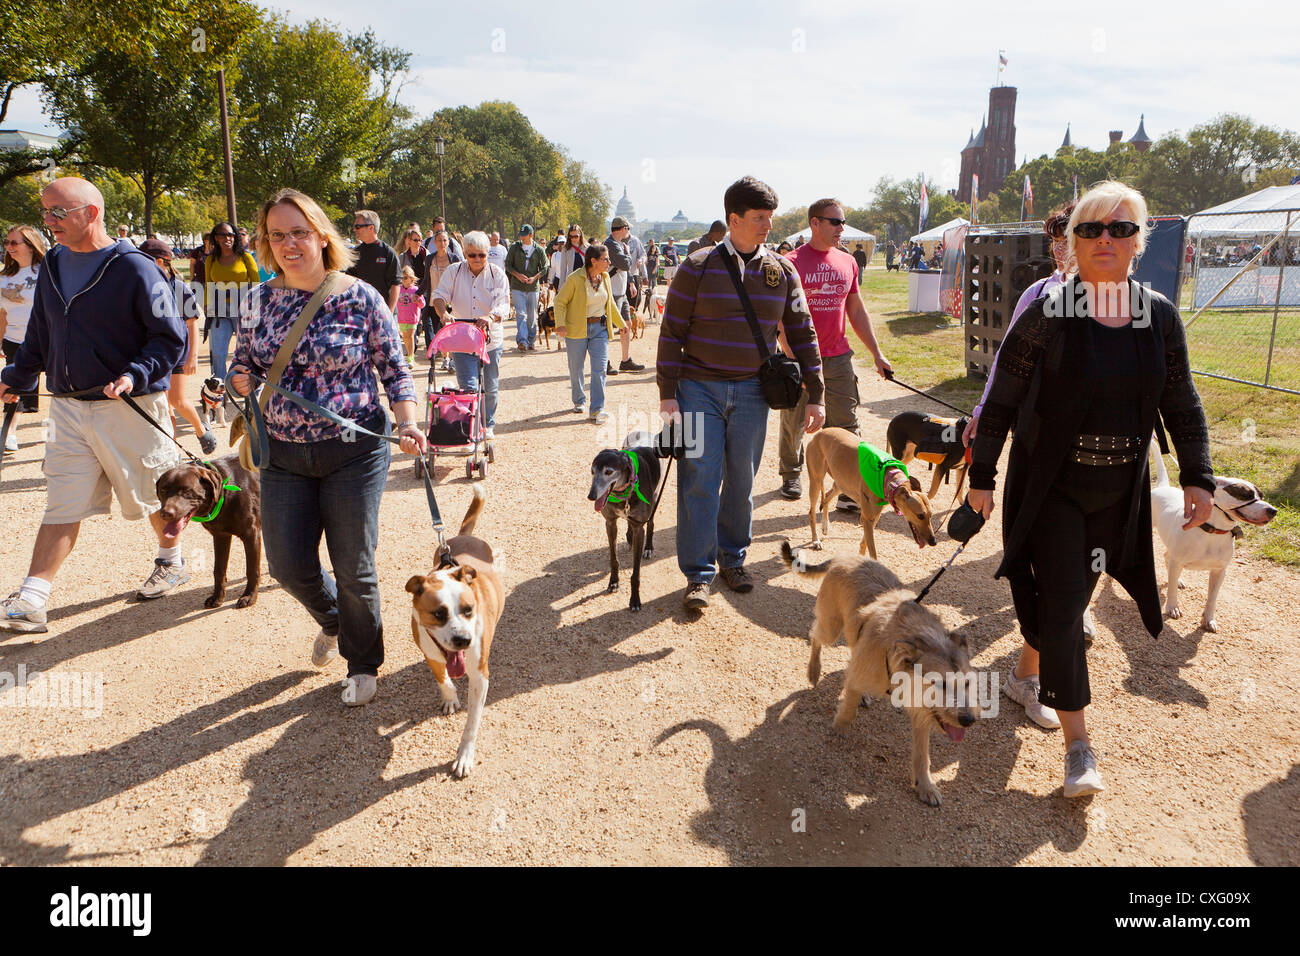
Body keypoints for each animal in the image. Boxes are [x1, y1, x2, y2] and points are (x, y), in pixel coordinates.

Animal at [405, 486, 501, 780]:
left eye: (468, 610)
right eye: (439, 614)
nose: (463, 640)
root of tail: (464, 536)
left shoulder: (480, 676)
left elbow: (472, 723)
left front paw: (464, 756)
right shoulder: (431, 652)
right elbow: (443, 679)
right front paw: (450, 699)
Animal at [595, 442, 665, 613]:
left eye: (608, 471)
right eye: (592, 471)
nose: (591, 495)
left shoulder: (639, 528)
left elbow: (635, 573)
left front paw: (635, 600)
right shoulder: (610, 523)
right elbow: (614, 559)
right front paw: (613, 582)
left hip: (655, 498)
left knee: (651, 523)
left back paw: (648, 547)